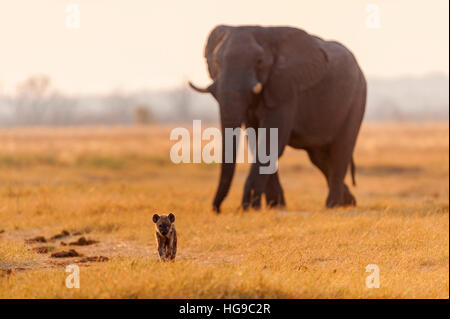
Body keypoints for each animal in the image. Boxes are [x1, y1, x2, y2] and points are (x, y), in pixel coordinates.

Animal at [189, 26, 366, 214]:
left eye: (259, 61)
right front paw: (274, 206)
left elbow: (272, 142)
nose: (217, 209)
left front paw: (250, 207)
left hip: (357, 99)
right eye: (217, 61)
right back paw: (348, 202)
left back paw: (332, 205)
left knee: (341, 149)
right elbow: (257, 139)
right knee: (319, 158)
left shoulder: (285, 87)